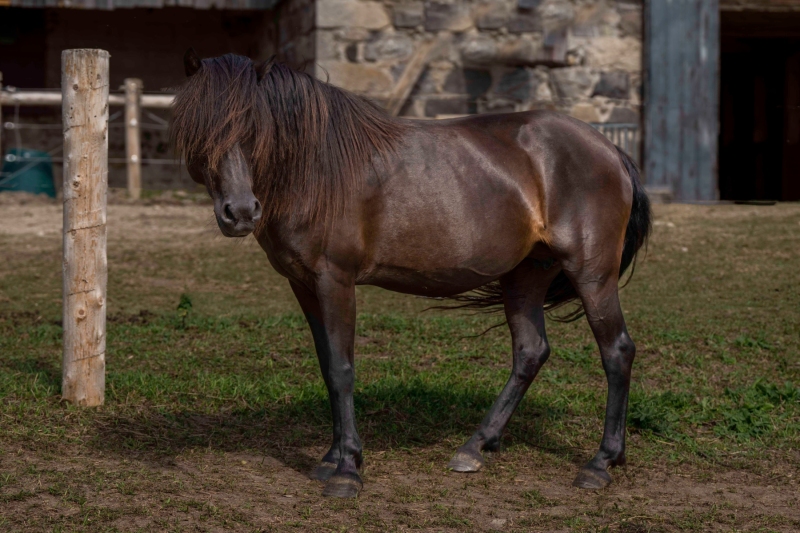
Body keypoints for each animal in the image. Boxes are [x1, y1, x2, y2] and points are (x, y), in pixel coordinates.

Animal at [170, 49, 652, 498]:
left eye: (254, 128)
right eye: (197, 127)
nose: (240, 213)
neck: (317, 170)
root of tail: (610, 150)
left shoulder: (335, 281)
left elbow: (342, 369)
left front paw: (347, 471)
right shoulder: (303, 284)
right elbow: (327, 366)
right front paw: (332, 457)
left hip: (592, 274)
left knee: (617, 351)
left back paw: (600, 463)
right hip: (525, 275)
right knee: (531, 351)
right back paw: (475, 447)